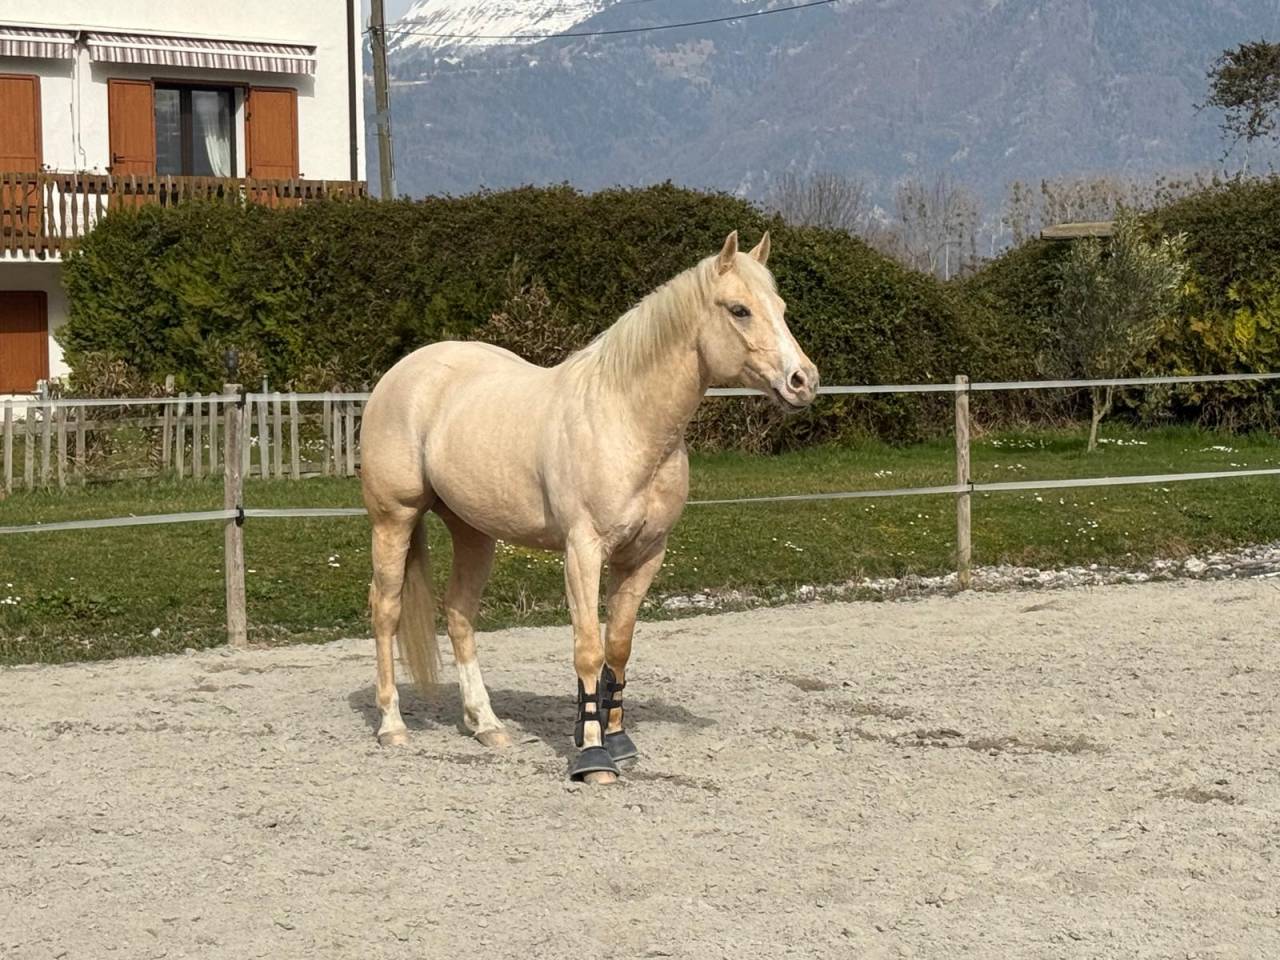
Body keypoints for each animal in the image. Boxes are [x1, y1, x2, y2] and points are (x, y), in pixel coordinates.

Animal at [359, 231, 818, 783]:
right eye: (739, 310)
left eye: (782, 307)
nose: (803, 380)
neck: (626, 418)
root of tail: (403, 373)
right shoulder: (583, 551)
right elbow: (587, 648)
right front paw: (593, 758)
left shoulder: (645, 555)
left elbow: (617, 647)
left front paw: (618, 743)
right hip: (394, 519)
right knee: (386, 610)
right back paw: (392, 725)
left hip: (473, 531)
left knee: (460, 615)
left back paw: (486, 725)